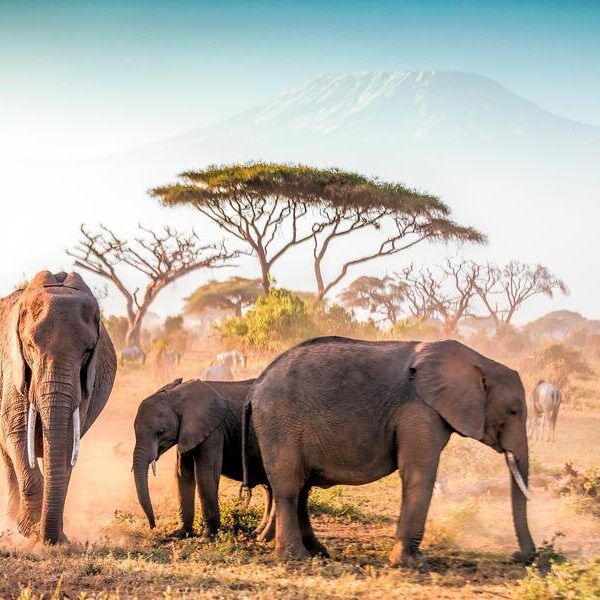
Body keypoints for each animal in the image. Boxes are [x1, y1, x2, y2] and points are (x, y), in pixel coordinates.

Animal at [0, 272, 116, 544]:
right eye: (30, 347)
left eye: (88, 351)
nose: (52, 539)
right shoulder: (12, 368)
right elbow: (17, 432)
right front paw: (29, 529)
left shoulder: (85, 385)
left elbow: (66, 439)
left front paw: (47, 535)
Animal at [132, 376, 274, 540]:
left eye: (160, 432)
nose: (152, 526)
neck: (177, 396)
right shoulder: (187, 432)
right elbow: (182, 476)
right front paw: (178, 533)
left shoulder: (214, 430)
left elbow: (205, 474)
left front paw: (206, 538)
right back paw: (259, 534)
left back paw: (263, 537)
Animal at [244, 338, 536, 568]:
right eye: (513, 411)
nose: (520, 557)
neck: (479, 362)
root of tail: (256, 387)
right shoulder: (419, 410)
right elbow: (418, 474)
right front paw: (410, 564)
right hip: (280, 424)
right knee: (289, 488)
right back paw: (296, 559)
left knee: (302, 488)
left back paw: (318, 554)